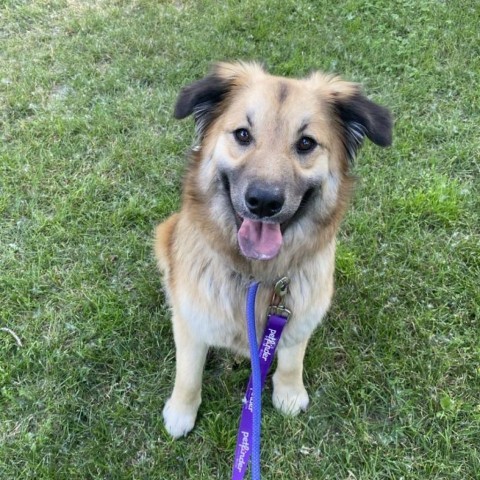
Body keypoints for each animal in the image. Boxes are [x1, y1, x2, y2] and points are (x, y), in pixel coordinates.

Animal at [156, 62, 392, 436]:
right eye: (242, 135)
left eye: (306, 143)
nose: (264, 202)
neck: (257, 277)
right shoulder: (191, 322)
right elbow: (188, 371)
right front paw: (181, 411)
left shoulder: (298, 315)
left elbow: (292, 360)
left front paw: (290, 394)